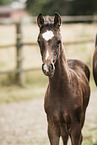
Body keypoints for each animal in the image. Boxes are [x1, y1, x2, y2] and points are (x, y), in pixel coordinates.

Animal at [36, 12, 90, 145]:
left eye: (59, 41)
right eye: (39, 41)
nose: (48, 67)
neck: (62, 90)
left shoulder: (75, 127)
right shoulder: (52, 127)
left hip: (82, 117)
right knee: (65, 137)